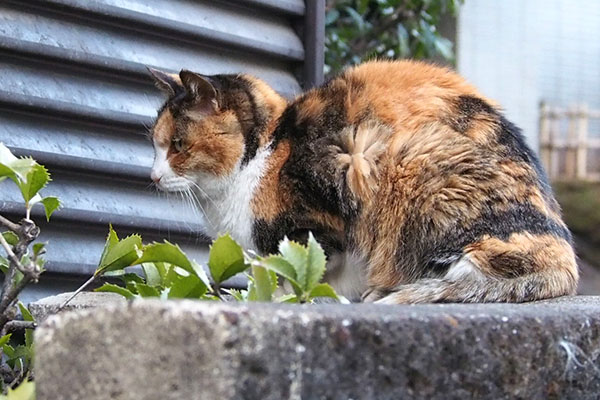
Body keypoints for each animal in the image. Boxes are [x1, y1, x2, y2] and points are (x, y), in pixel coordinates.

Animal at [148, 60, 580, 304]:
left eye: (178, 145)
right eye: (154, 144)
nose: (152, 176)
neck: (263, 152)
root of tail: (566, 266)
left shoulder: (316, 228)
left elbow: (301, 274)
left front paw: (286, 300)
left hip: (413, 165)